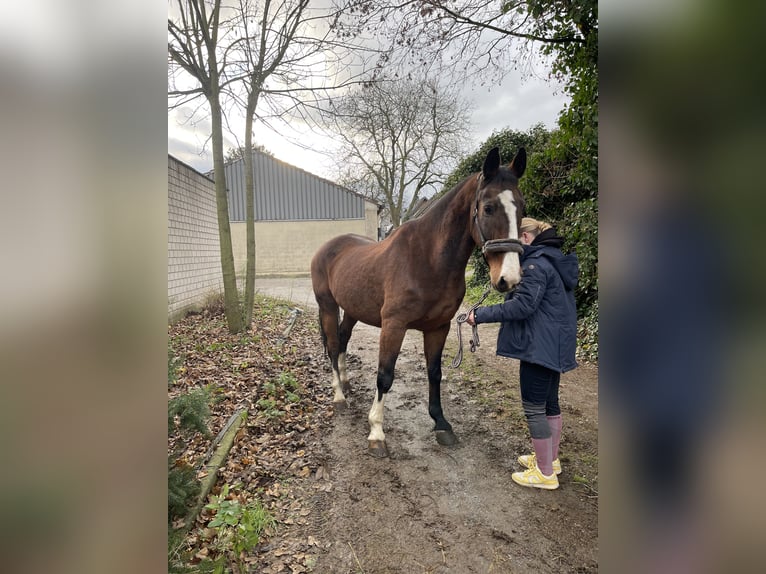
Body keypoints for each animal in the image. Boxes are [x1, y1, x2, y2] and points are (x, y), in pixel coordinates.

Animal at [312, 147, 528, 460]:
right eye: (488, 208)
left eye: (522, 208)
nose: (509, 278)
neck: (428, 259)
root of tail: (328, 247)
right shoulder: (394, 326)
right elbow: (385, 376)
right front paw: (376, 434)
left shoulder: (439, 327)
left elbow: (434, 373)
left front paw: (441, 424)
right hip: (327, 306)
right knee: (331, 344)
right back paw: (339, 395)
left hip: (352, 309)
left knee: (342, 340)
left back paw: (346, 381)